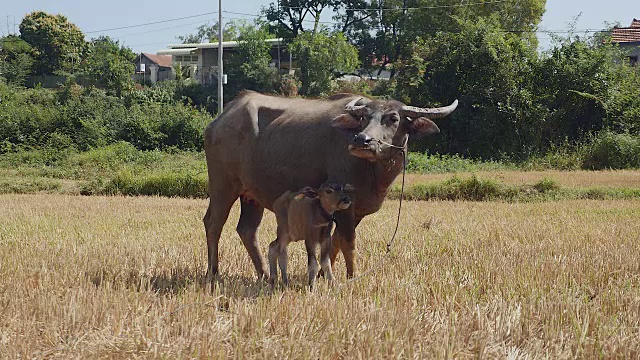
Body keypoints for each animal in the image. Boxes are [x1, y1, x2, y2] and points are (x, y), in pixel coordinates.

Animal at [202, 90, 458, 282]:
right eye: (364, 118)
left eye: (394, 118)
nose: (361, 140)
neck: (372, 171)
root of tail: (222, 118)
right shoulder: (345, 207)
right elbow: (349, 242)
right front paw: (351, 276)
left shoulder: (353, 210)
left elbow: (335, 242)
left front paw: (326, 274)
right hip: (223, 185)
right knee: (213, 223)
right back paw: (213, 273)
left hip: (251, 195)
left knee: (247, 230)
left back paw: (265, 274)